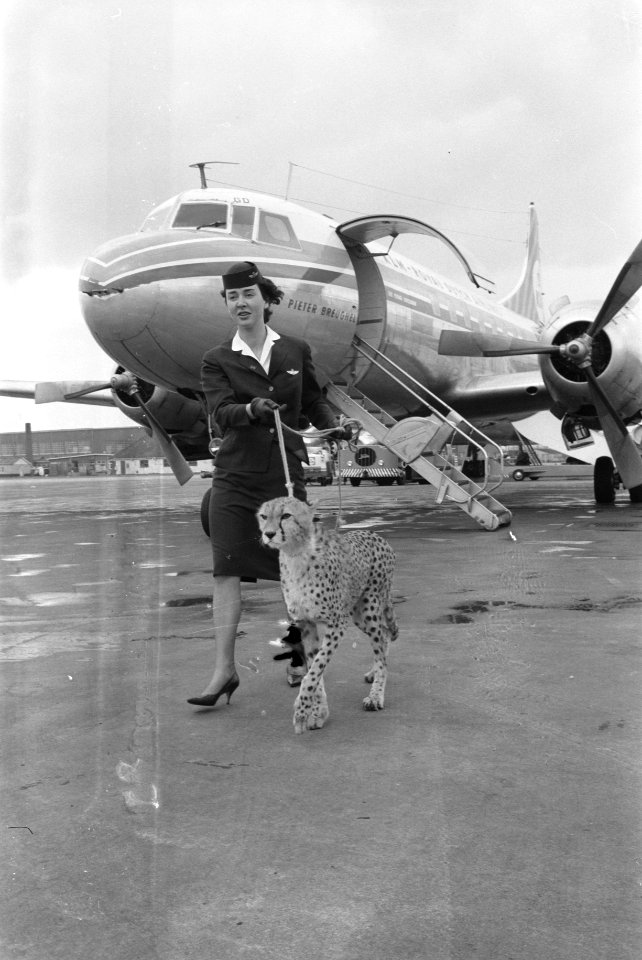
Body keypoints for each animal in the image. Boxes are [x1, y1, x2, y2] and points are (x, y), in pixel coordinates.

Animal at [255, 496, 396, 736]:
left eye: (286, 515)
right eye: (264, 516)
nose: (269, 534)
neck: (295, 554)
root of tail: (373, 533)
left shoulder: (337, 624)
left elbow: (315, 670)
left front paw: (301, 709)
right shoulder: (306, 624)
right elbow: (315, 668)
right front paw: (318, 712)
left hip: (369, 609)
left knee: (380, 643)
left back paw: (376, 695)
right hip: (358, 614)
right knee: (384, 636)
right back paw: (373, 673)